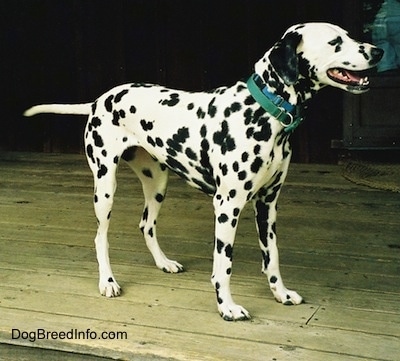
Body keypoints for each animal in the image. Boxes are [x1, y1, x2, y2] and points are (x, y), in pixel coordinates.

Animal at [23, 23, 382, 320]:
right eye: (336, 41)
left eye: (349, 35)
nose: (377, 51)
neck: (263, 111)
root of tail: (100, 99)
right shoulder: (227, 206)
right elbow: (223, 265)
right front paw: (227, 307)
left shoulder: (268, 204)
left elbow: (273, 257)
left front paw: (280, 293)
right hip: (105, 188)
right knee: (101, 237)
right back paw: (108, 281)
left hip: (157, 183)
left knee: (146, 224)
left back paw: (164, 262)